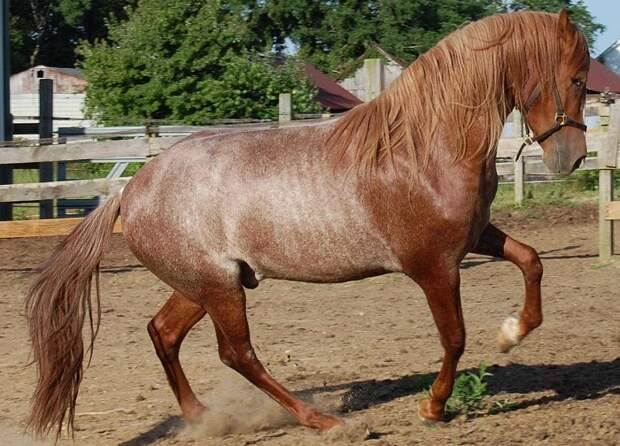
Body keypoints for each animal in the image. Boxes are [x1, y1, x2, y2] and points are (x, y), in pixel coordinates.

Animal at [24, 9, 588, 440]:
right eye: (577, 79)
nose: (574, 158)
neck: (425, 148)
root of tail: (130, 190)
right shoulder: (432, 266)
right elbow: (454, 338)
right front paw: (432, 407)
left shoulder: (472, 239)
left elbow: (531, 260)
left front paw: (512, 333)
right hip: (219, 288)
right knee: (237, 353)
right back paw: (326, 422)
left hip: (201, 285)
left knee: (163, 333)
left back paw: (203, 417)